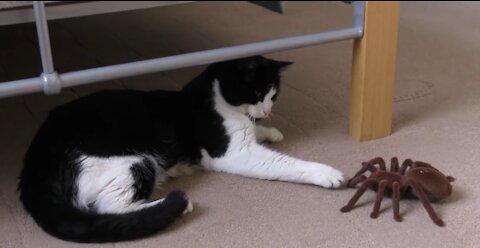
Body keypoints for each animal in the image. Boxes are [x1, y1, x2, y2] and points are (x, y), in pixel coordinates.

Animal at [17, 55, 342, 242]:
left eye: (274, 96)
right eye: (257, 92)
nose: (267, 111)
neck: (217, 97)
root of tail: (34, 162)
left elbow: (257, 132)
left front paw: (270, 131)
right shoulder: (233, 153)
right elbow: (285, 164)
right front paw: (327, 173)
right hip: (129, 162)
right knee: (111, 207)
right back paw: (175, 204)